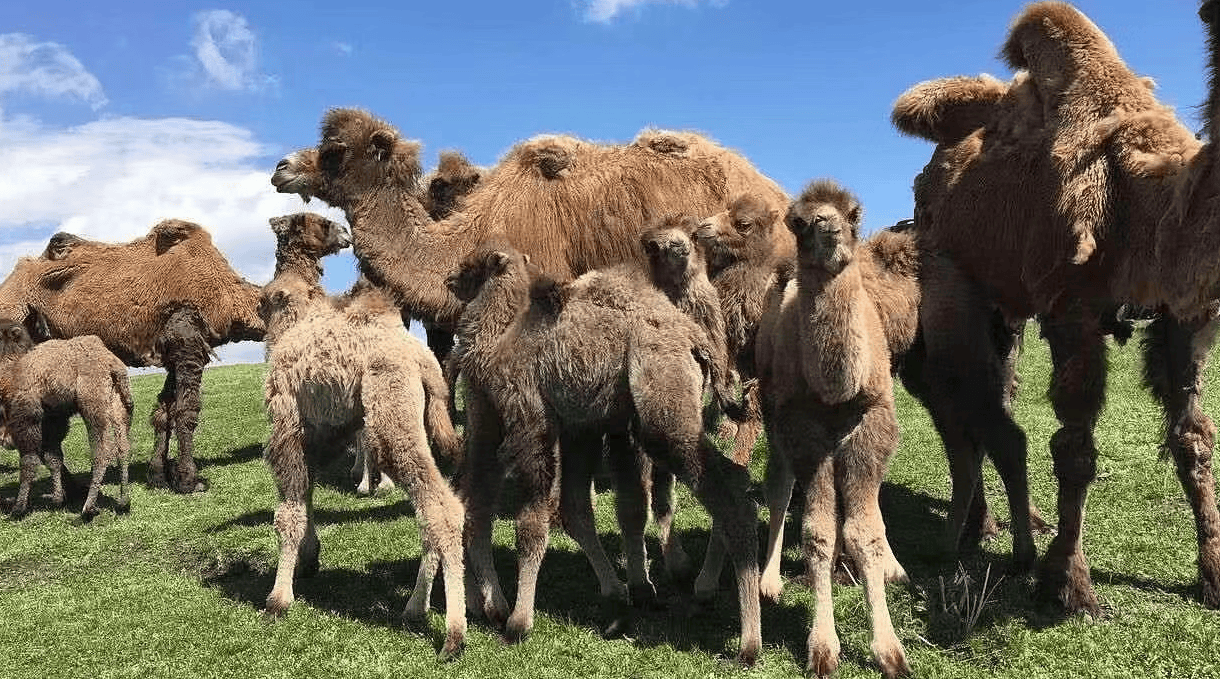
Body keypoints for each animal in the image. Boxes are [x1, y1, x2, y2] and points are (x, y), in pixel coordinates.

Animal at [0, 220, 264, 492]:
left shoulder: (172, 353)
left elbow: (163, 412)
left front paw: (158, 476)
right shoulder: (188, 339)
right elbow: (187, 410)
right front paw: (189, 481)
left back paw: (73, 488)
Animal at [0, 316, 133, 519]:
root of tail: (113, 365)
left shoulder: (26, 414)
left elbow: (29, 460)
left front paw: (18, 508)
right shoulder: (52, 417)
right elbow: (53, 457)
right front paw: (57, 499)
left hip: (92, 403)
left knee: (102, 449)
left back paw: (88, 508)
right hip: (118, 403)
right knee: (123, 446)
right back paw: (123, 502)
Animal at [258, 210, 466, 658]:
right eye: (319, 222)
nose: (345, 233)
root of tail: (425, 365)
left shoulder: (288, 421)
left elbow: (288, 510)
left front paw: (278, 599)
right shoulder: (321, 428)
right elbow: (307, 493)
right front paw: (310, 560)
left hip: (392, 421)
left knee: (440, 507)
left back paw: (454, 635)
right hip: (416, 422)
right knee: (438, 503)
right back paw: (415, 608)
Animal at [444, 242, 756, 663]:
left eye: (473, 266)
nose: (450, 280)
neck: (505, 334)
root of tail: (697, 340)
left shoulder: (531, 422)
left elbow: (531, 524)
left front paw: (519, 623)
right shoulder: (580, 427)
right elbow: (579, 508)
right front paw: (621, 591)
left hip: (665, 417)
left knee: (729, 494)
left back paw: (746, 641)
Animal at [893, 1, 1215, 614]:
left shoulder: (1182, 316)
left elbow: (1194, 438)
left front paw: (1212, 573)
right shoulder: (1071, 308)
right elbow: (1075, 450)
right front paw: (1068, 585)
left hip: (1008, 311)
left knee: (999, 394)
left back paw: (1027, 521)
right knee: (969, 402)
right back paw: (980, 527)